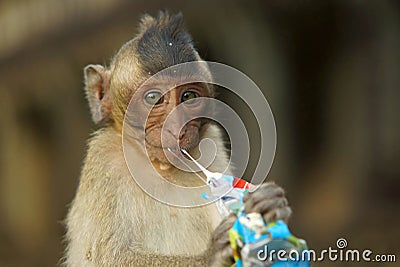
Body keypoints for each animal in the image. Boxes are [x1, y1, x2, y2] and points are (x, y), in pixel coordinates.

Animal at [65, 11, 290, 266]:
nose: (177, 128)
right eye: (153, 98)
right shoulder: (104, 161)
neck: (159, 168)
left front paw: (269, 205)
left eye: (188, 96)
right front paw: (212, 255)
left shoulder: (212, 143)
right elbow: (106, 257)